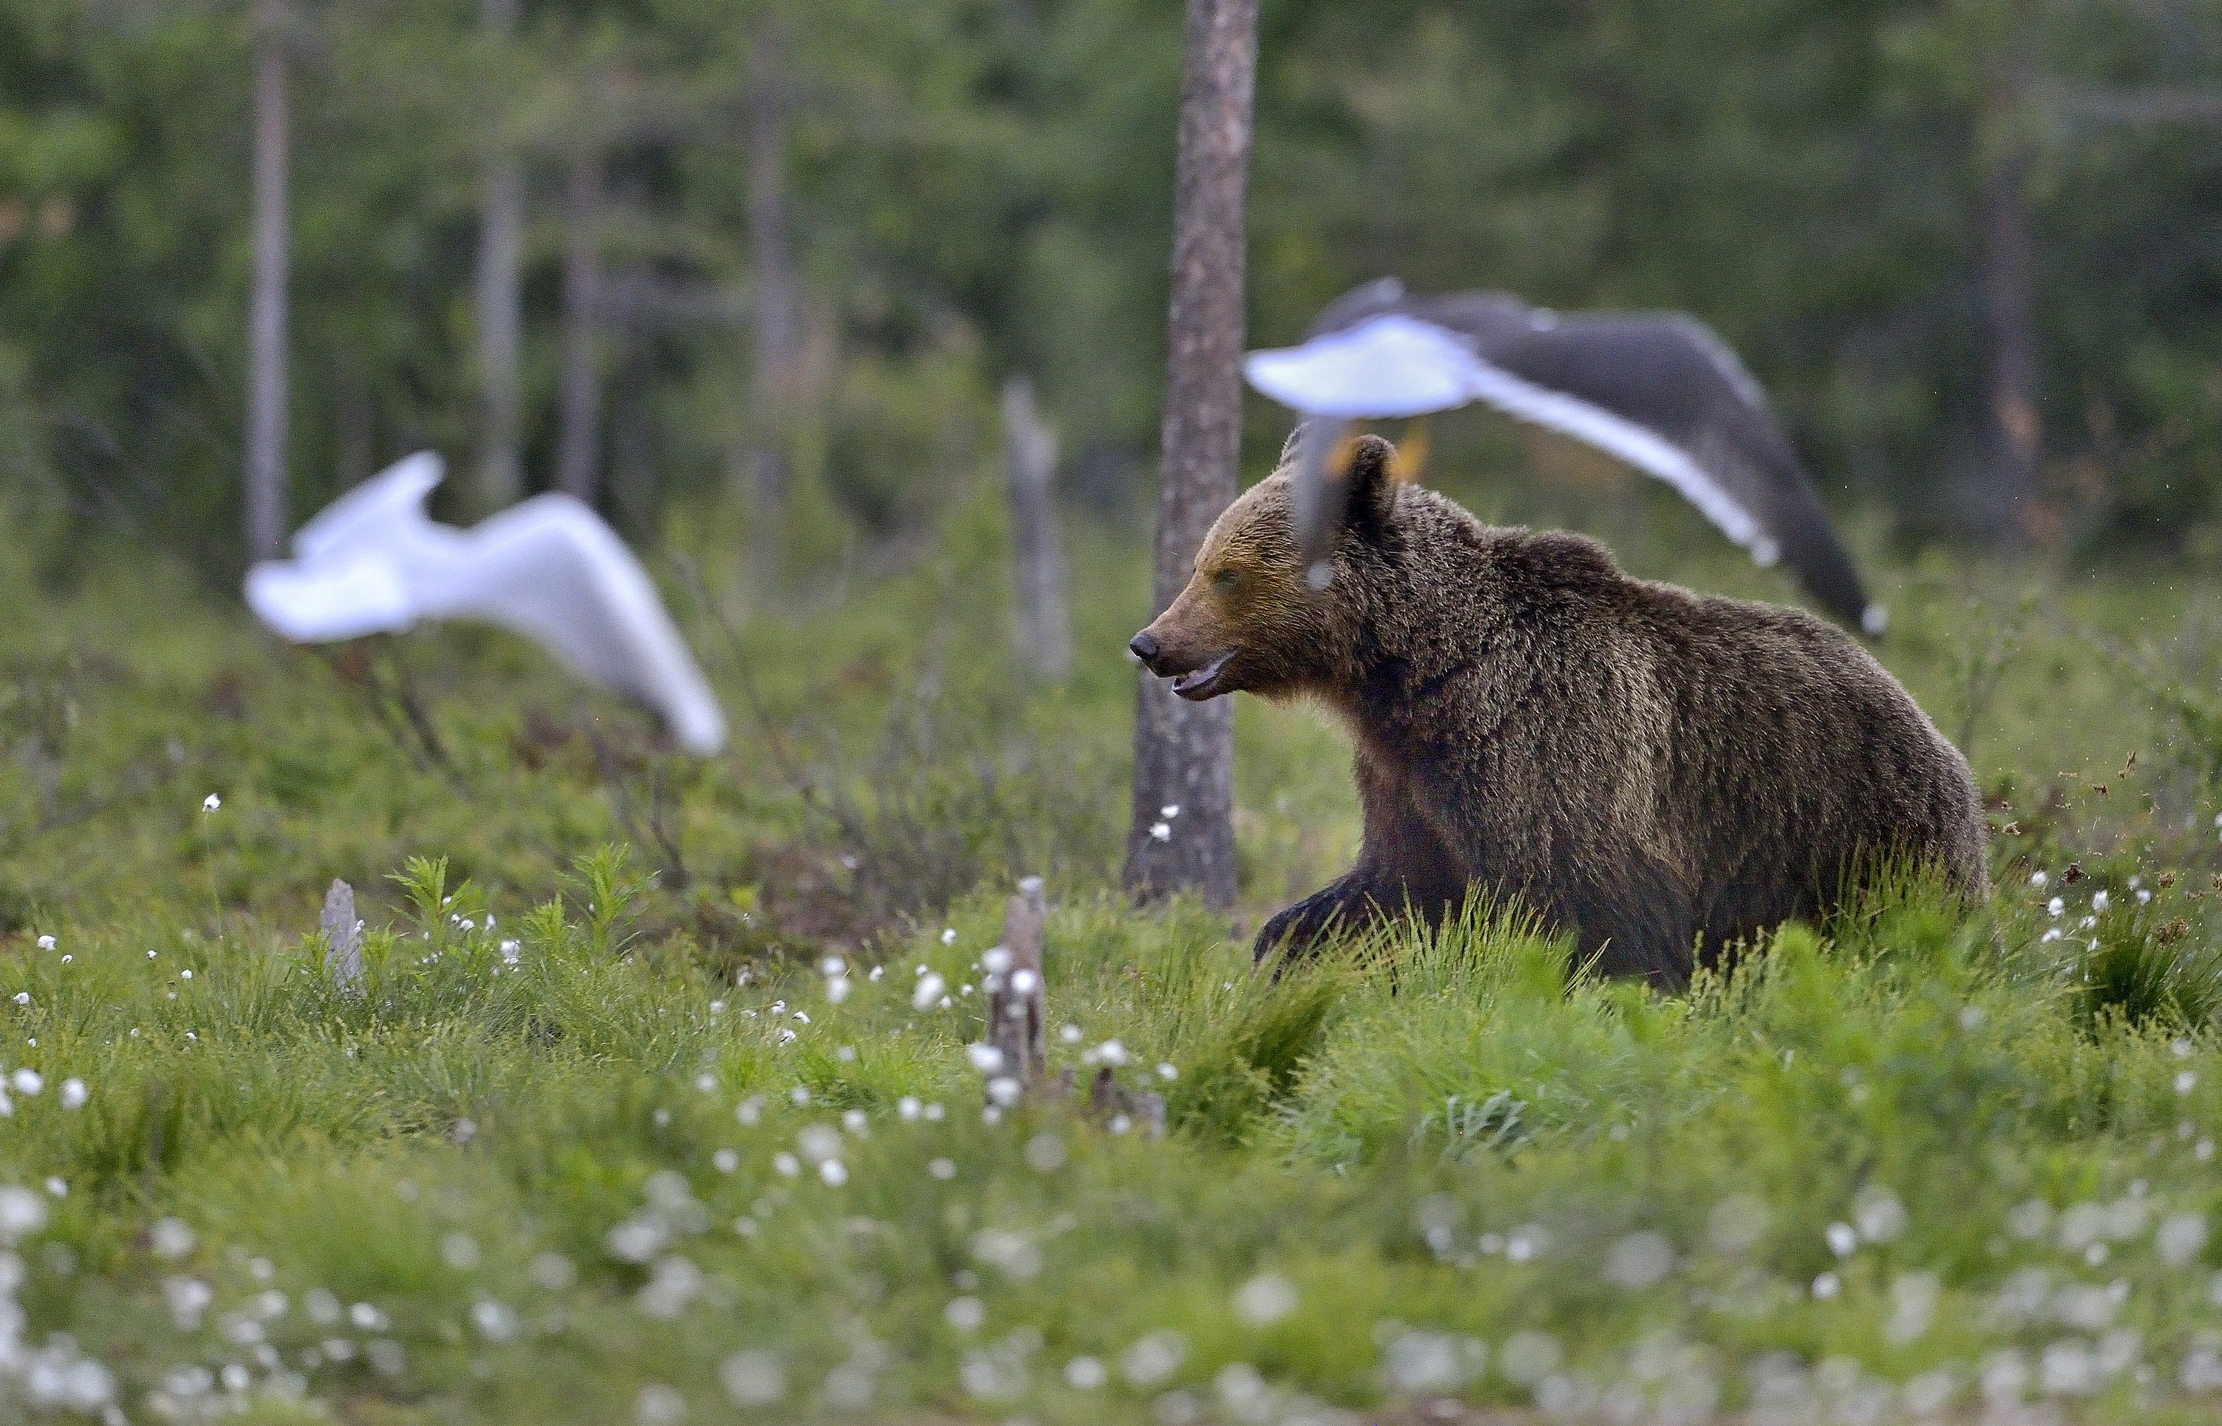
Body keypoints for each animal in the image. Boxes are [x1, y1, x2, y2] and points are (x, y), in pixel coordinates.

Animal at [1127, 433, 1988, 984]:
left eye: (1227, 574)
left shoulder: (1550, 749)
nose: (1149, 642)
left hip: (1850, 828)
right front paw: (1283, 951)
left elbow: (1605, 918)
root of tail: (1937, 734)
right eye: (1203, 562)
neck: (1417, 675)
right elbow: (1392, 884)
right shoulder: (1409, 780)